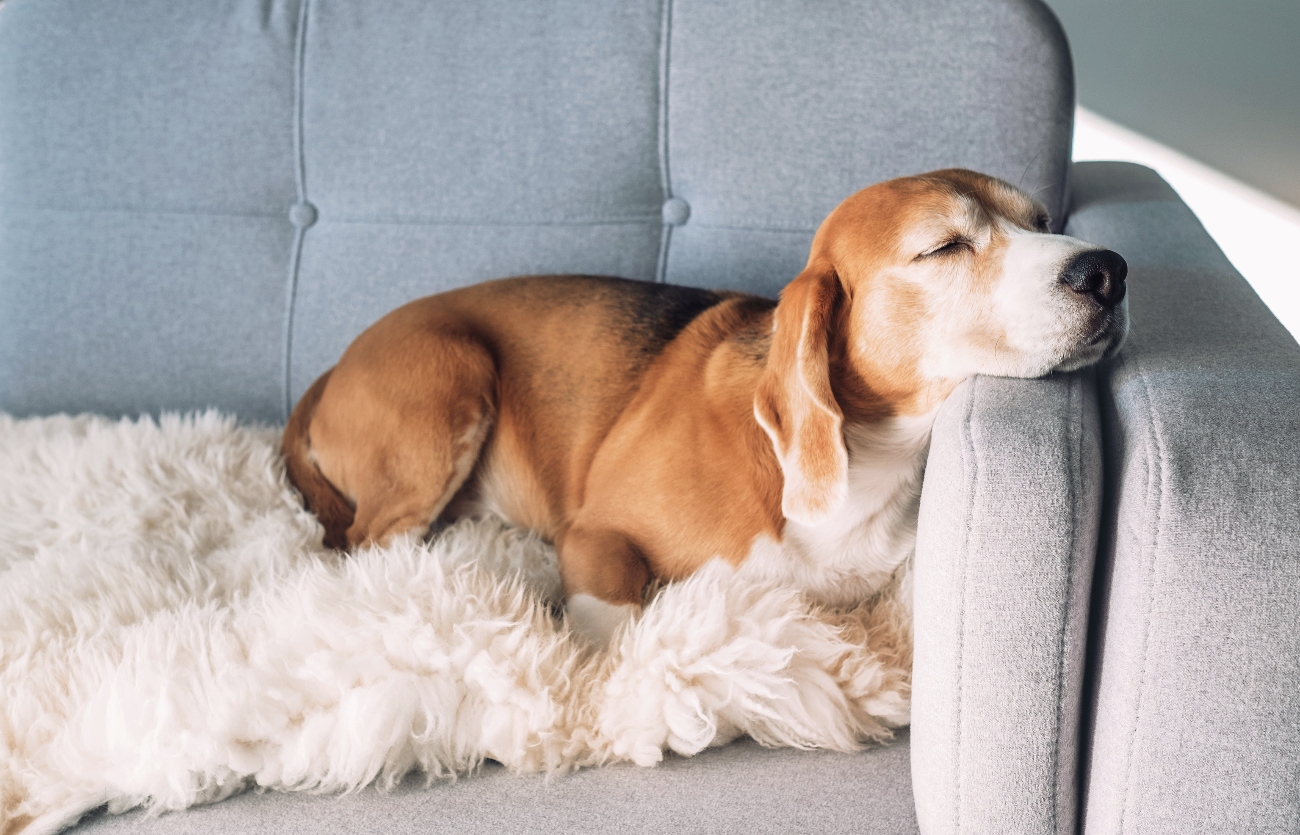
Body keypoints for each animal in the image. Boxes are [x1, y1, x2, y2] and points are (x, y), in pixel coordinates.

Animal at [284, 169, 1128, 645]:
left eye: (1043, 222)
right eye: (944, 247)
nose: (1110, 270)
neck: (873, 455)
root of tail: (331, 369)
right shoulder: (596, 534)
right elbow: (614, 622)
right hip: (452, 375)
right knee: (367, 542)